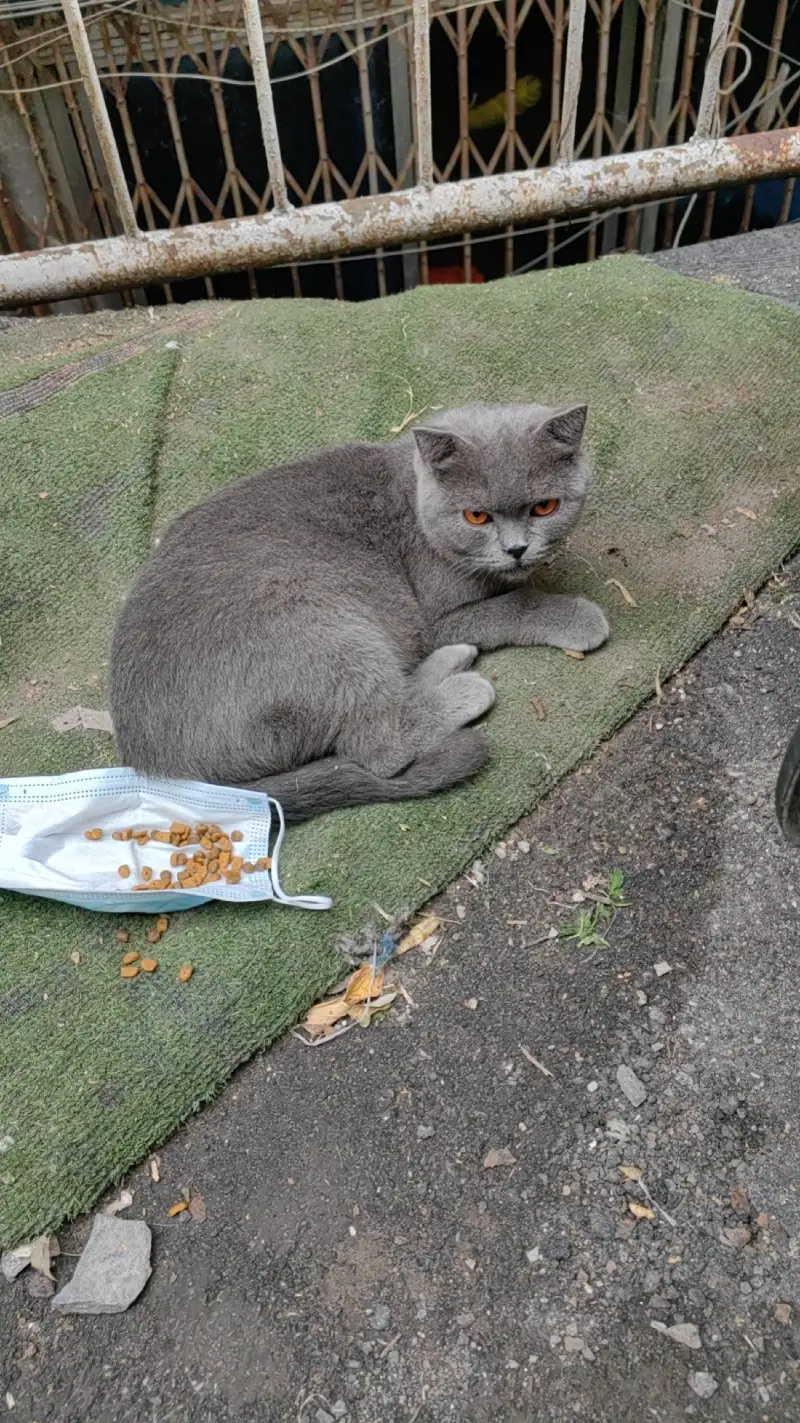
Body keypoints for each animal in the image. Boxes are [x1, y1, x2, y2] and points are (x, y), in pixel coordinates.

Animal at [108, 401, 606, 825]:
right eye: (476, 517)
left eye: (545, 507)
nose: (517, 549)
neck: (415, 502)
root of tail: (160, 774)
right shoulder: (438, 614)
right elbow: (517, 602)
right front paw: (577, 616)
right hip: (321, 625)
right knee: (379, 742)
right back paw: (465, 688)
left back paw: (449, 663)